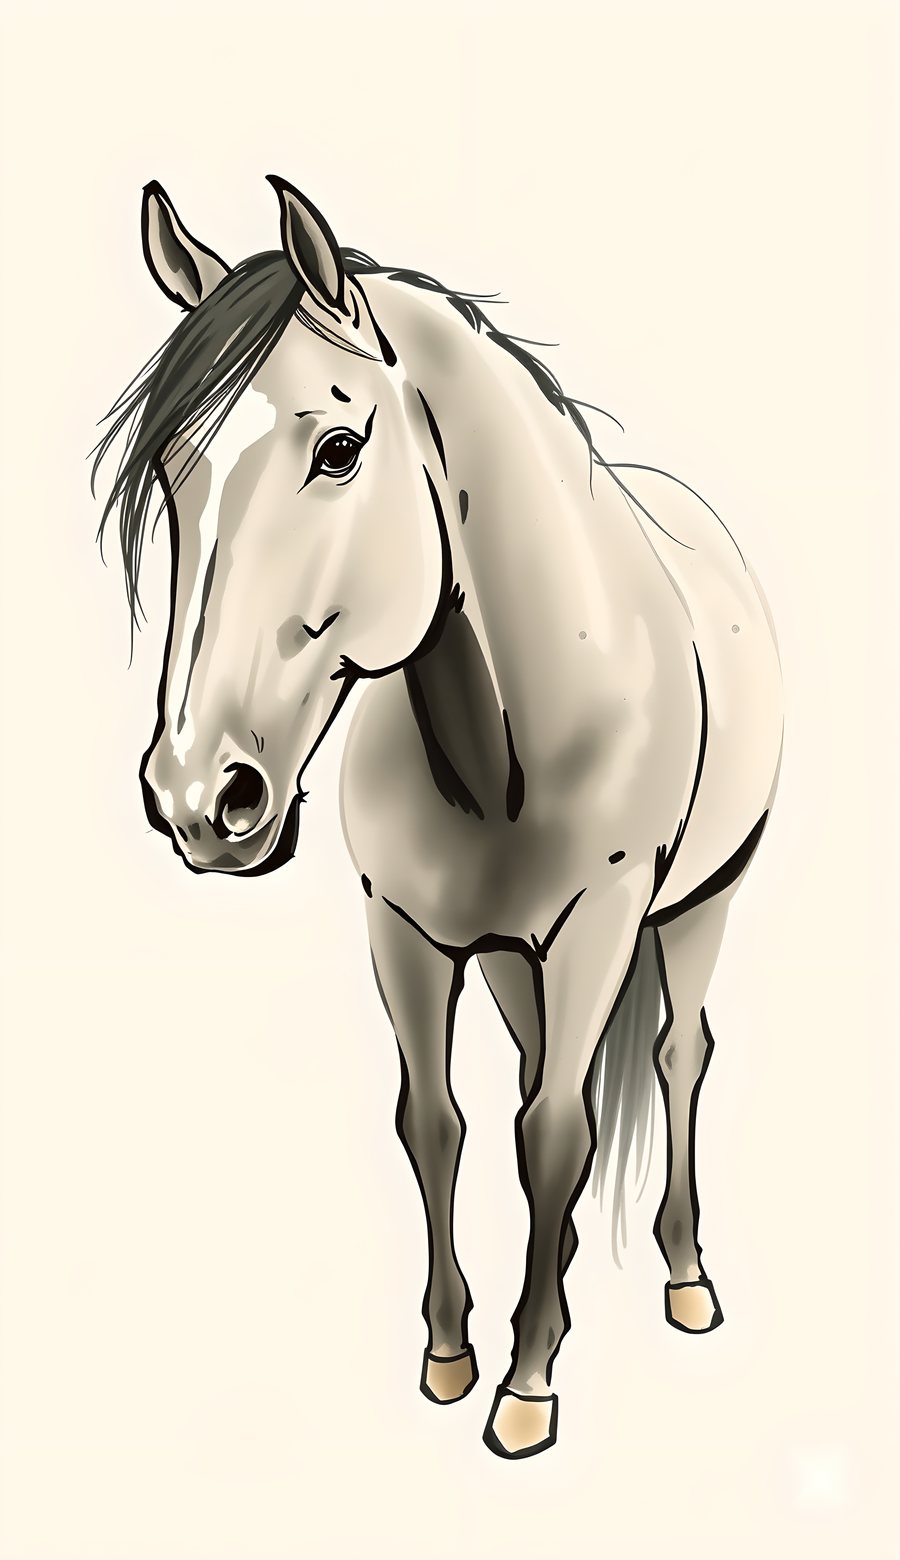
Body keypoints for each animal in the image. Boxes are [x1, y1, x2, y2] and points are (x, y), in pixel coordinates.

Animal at [93, 175, 784, 1459]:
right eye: (170, 471)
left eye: (338, 448)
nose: (201, 797)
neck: (509, 732)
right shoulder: (407, 933)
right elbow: (442, 1123)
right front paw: (457, 1352)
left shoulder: (599, 925)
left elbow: (556, 1133)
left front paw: (528, 1387)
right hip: (515, 959)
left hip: (697, 904)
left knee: (676, 1057)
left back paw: (684, 1278)